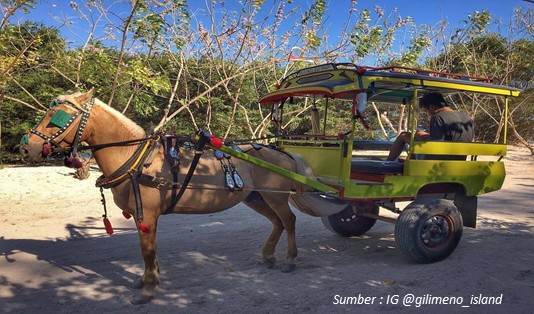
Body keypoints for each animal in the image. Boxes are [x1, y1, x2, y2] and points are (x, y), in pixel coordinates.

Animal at [19, 89, 310, 304]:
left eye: (56, 117)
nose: (25, 148)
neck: (135, 158)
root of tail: (283, 152)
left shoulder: (147, 214)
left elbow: (147, 251)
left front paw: (147, 289)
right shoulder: (144, 217)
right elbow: (150, 250)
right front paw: (149, 279)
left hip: (274, 196)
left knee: (289, 221)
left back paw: (290, 259)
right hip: (256, 198)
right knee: (277, 223)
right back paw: (268, 255)